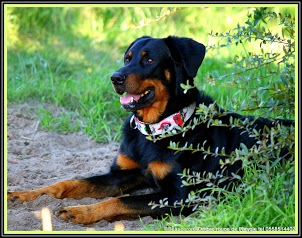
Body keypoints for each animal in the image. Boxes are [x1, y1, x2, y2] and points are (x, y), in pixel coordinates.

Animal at [7, 36, 294, 224]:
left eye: (150, 60)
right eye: (127, 58)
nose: (115, 77)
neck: (156, 129)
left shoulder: (180, 195)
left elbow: (119, 201)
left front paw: (80, 211)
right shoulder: (124, 174)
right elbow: (68, 183)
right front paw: (24, 194)